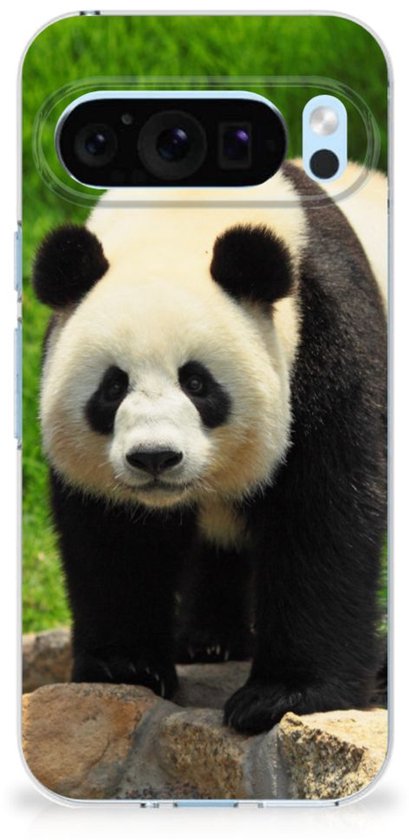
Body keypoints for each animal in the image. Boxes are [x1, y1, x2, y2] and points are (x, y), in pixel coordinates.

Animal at [32, 161, 387, 735]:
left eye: (197, 382)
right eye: (113, 386)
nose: (154, 458)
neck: (184, 213)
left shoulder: (325, 338)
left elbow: (324, 514)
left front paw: (282, 696)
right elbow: (115, 535)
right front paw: (126, 666)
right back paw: (209, 640)